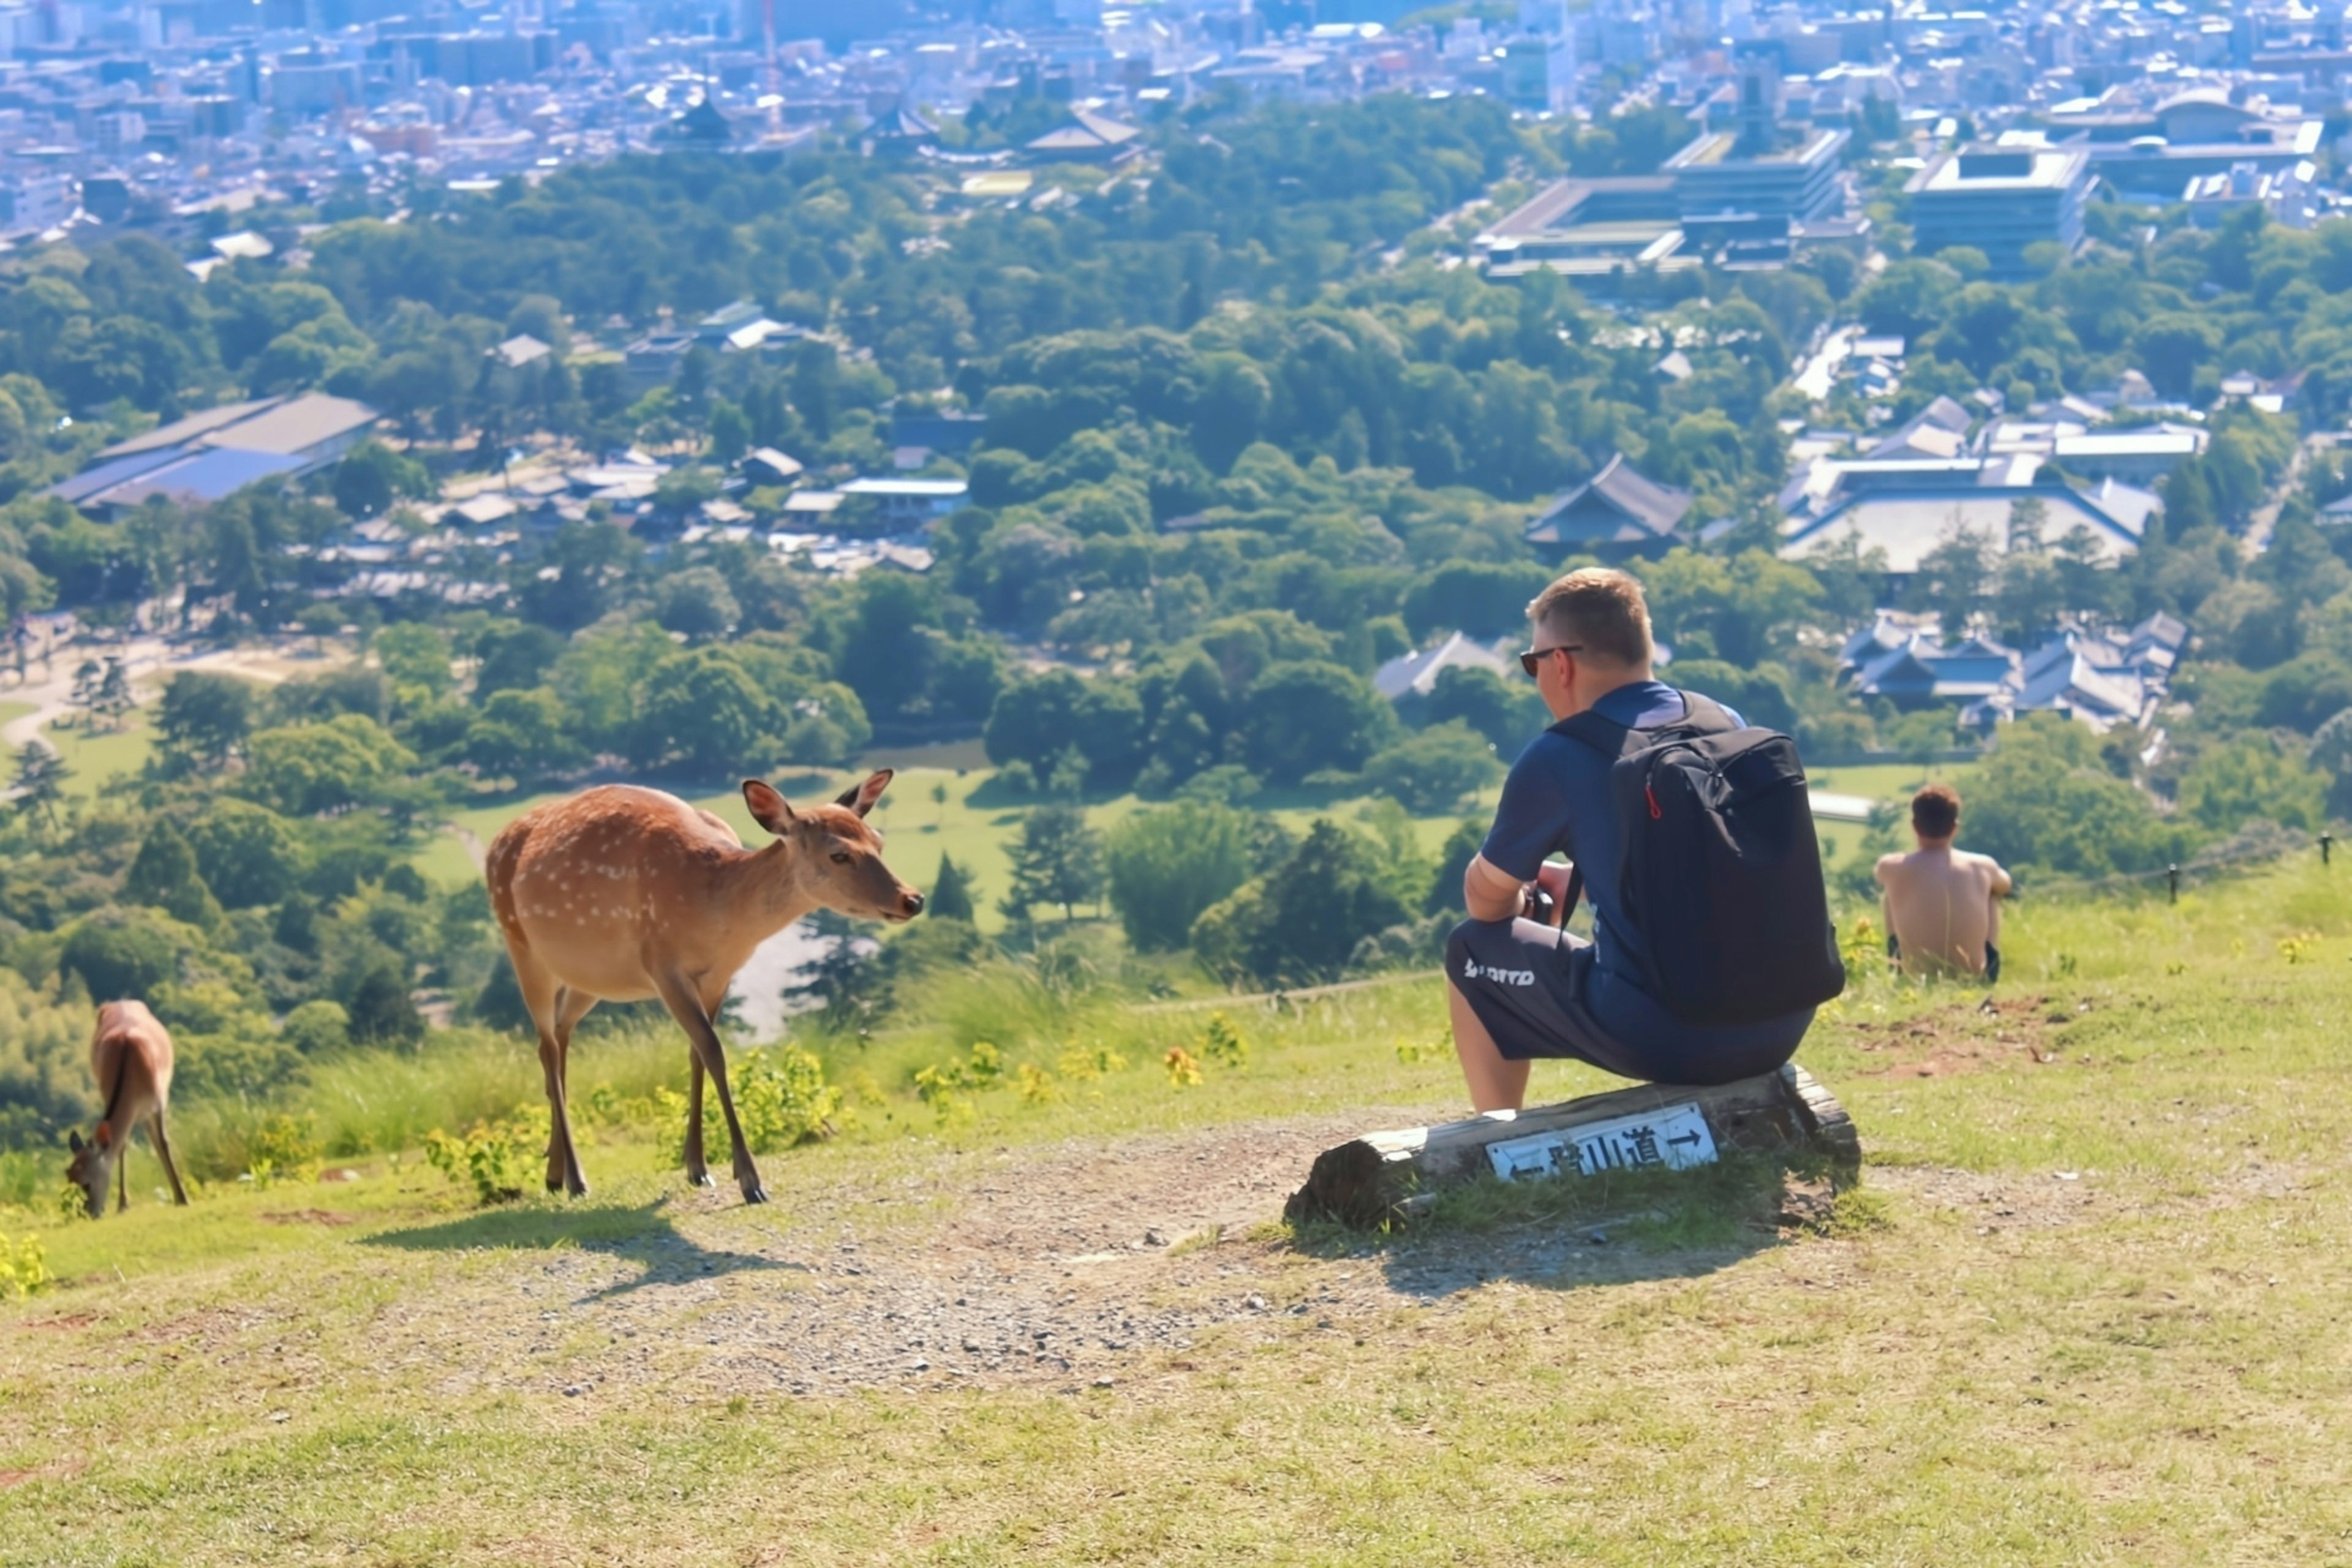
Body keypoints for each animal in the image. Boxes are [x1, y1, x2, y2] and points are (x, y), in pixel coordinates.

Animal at [66, 1006, 191, 1222]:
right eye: (71, 1176)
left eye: (86, 1183)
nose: (91, 1213)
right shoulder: (111, 1097)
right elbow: (122, 1146)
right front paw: (123, 1204)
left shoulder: (159, 1102)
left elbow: (164, 1143)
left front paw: (183, 1198)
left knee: (158, 1143)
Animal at [484, 771, 917, 1204]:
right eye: (838, 854)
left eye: (878, 841)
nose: (912, 899)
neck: (714, 912)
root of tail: (496, 843)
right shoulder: (663, 966)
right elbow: (714, 1051)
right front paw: (750, 1180)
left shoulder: (720, 975)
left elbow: (697, 1054)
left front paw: (698, 1166)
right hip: (521, 945)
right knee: (546, 1046)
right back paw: (576, 1178)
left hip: (590, 977)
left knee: (560, 1037)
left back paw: (555, 1173)